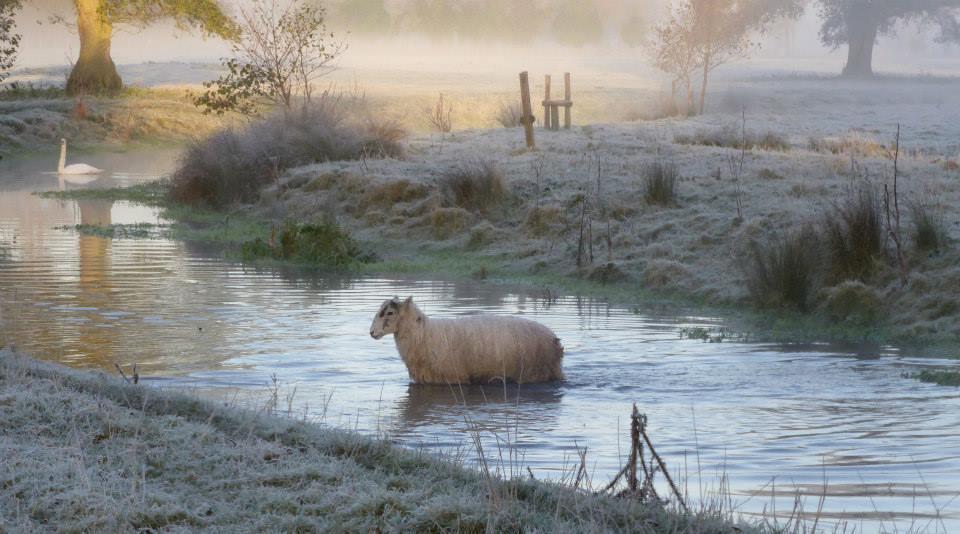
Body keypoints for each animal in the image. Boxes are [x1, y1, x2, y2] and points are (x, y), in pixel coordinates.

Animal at [369, 297, 564, 384]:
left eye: (389, 312)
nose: (371, 332)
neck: (424, 334)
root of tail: (555, 340)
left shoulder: (453, 377)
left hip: (535, 372)